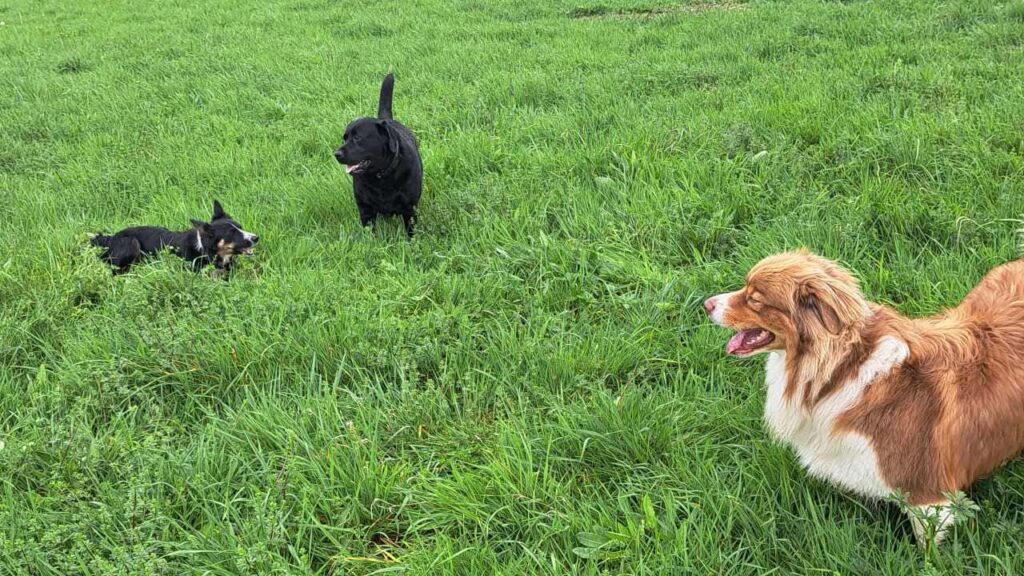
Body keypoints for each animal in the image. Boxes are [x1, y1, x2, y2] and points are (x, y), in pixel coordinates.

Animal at [91, 200, 260, 274]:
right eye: (232, 233)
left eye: (240, 227)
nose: (256, 238)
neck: (205, 251)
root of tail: (110, 238)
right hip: (131, 242)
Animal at [335, 73, 423, 235]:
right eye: (344, 138)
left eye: (357, 138)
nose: (337, 154)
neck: (381, 176)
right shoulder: (365, 209)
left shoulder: (410, 209)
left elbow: (410, 231)